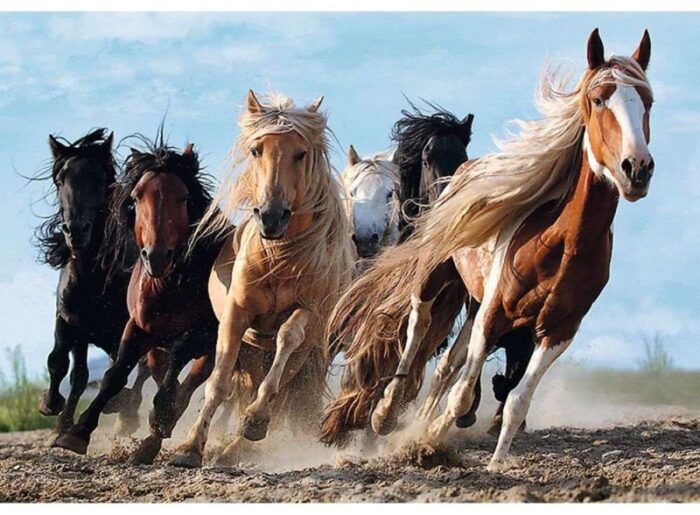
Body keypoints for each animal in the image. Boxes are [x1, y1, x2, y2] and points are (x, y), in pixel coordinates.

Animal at [32, 129, 146, 440]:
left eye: (99, 179)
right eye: (61, 180)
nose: (75, 231)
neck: (93, 279)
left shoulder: (124, 328)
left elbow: (119, 370)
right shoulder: (70, 322)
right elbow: (63, 364)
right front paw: (54, 412)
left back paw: (125, 414)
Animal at [53, 136, 226, 463]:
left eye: (183, 198)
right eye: (136, 197)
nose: (155, 256)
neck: (169, 285)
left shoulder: (204, 334)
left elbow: (177, 366)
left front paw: (160, 415)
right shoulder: (137, 327)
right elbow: (114, 375)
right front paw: (76, 433)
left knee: (188, 387)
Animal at [169, 91, 355, 468]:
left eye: (301, 153)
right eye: (257, 150)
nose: (271, 216)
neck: (279, 257)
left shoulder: (308, 313)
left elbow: (287, 339)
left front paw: (255, 420)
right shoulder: (237, 314)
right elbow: (218, 383)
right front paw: (190, 447)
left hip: (303, 355)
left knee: (279, 388)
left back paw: (237, 446)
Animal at [321, 29, 655, 471]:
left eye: (647, 101)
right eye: (599, 99)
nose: (636, 168)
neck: (562, 242)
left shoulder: (558, 330)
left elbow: (515, 399)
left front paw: (494, 463)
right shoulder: (494, 312)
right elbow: (460, 389)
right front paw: (424, 440)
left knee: (448, 365)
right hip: (436, 275)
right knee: (417, 326)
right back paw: (387, 412)